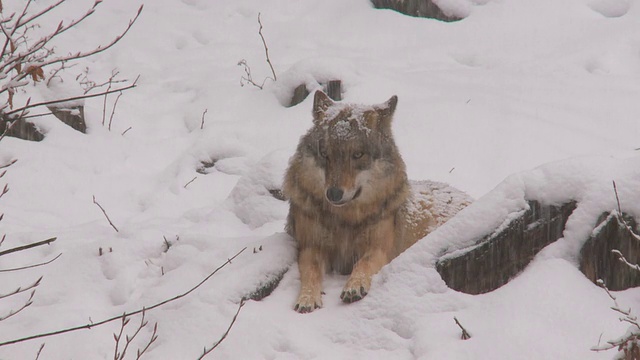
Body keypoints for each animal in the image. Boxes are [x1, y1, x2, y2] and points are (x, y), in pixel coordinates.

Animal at [284, 91, 470, 314]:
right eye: (325, 154)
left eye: (358, 154)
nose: (334, 194)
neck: (345, 220)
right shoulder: (310, 247)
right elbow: (311, 272)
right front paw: (307, 298)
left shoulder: (379, 248)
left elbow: (363, 263)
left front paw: (354, 286)